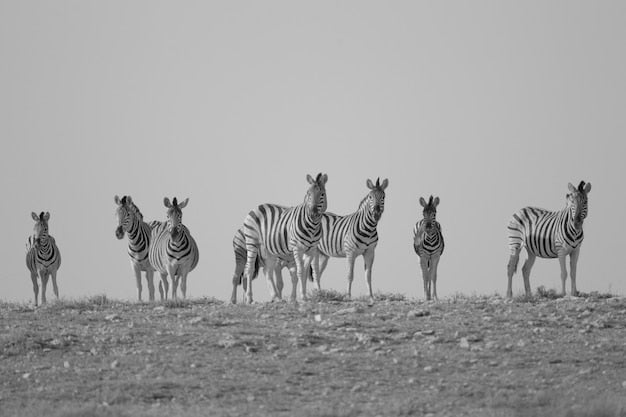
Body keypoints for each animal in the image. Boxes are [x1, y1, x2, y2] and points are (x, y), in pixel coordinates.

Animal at [241, 172, 326, 302]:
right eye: (308, 194)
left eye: (322, 194)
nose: (313, 213)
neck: (313, 226)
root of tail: (258, 206)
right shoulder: (297, 248)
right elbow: (300, 271)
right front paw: (302, 297)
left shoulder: (311, 250)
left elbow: (304, 272)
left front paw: (299, 297)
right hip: (252, 243)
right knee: (249, 269)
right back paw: (249, 299)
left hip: (268, 249)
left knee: (268, 271)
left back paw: (276, 298)